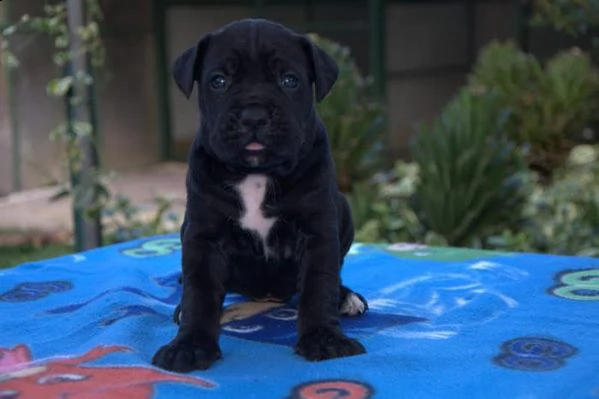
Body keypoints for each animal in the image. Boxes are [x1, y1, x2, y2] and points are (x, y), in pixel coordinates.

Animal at [152, 19, 368, 376]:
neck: (256, 174)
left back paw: (346, 297)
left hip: (345, 210)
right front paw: (190, 345)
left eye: (289, 80)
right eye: (219, 81)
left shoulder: (318, 233)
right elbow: (200, 292)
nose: (253, 115)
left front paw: (324, 338)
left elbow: (319, 285)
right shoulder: (203, 237)